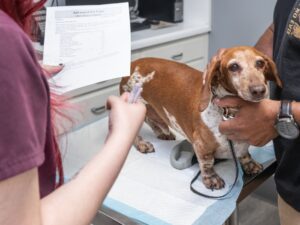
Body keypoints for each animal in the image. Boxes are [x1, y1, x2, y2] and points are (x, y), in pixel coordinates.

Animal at [119, 46, 282, 191]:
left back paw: (162, 133)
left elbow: (244, 153)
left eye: (260, 63)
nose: (259, 90)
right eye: (234, 66)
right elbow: (207, 162)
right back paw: (142, 144)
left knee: (152, 121)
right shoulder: (201, 145)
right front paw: (211, 178)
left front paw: (249, 163)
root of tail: (133, 64)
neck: (228, 112)